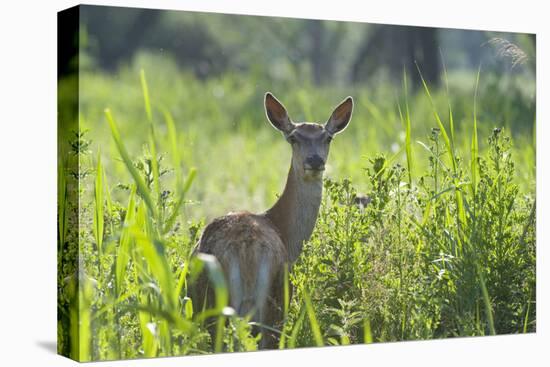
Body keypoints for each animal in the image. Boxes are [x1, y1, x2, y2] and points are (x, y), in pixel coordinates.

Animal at [192, 91, 356, 348]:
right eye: (293, 138)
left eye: (328, 138)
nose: (315, 160)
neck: (283, 230)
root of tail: (246, 250)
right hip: (270, 303)